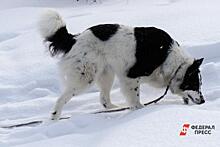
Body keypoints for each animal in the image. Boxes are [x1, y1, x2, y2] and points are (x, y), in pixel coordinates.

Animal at [38, 9, 205, 120]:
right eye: (195, 84)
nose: (203, 101)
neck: (170, 59)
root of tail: (74, 39)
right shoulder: (130, 77)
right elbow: (135, 100)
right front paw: (140, 111)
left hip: (106, 74)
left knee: (104, 100)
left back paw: (114, 108)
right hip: (85, 77)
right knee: (61, 99)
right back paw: (55, 118)